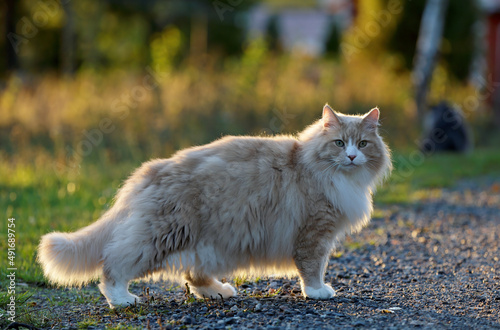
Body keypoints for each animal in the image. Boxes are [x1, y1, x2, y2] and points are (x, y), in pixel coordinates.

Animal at [38, 104, 390, 308]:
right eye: (339, 143)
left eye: (362, 144)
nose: (352, 157)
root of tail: (152, 169)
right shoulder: (314, 232)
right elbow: (313, 268)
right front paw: (317, 292)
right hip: (161, 236)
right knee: (113, 264)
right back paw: (123, 299)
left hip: (206, 243)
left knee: (193, 275)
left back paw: (219, 292)